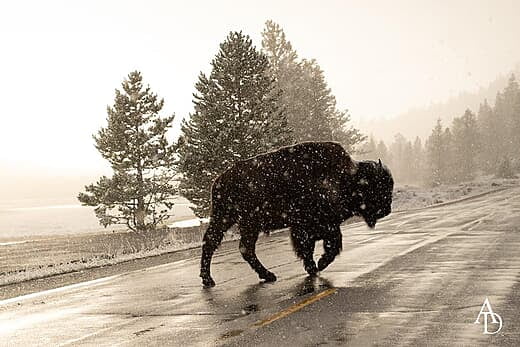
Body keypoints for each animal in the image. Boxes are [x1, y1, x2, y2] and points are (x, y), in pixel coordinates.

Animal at [200, 141, 394, 288]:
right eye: (378, 188)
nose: (387, 209)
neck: (345, 178)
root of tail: (219, 180)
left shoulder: (311, 227)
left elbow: (313, 247)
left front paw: (313, 267)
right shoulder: (315, 226)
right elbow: (330, 244)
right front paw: (319, 264)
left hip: (226, 219)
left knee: (215, 243)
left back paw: (212, 279)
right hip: (247, 223)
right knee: (241, 247)